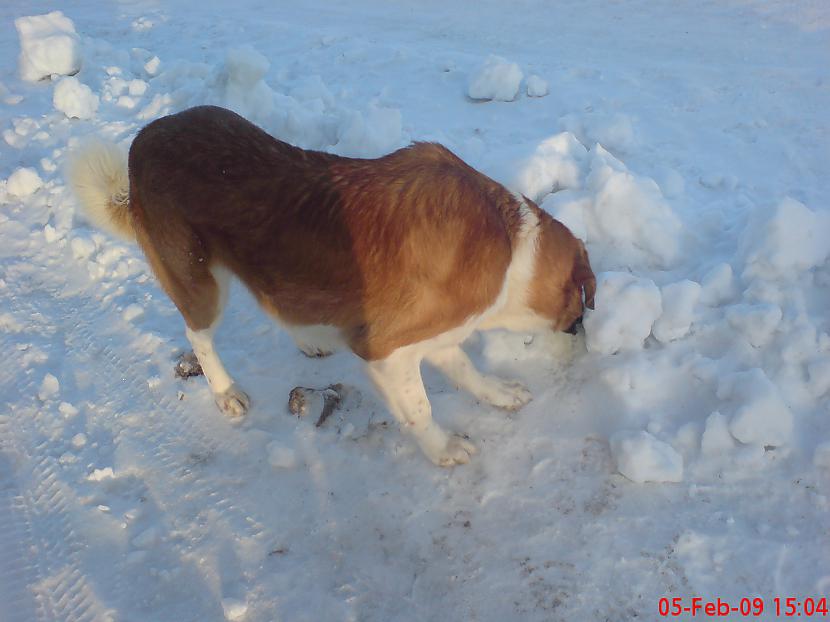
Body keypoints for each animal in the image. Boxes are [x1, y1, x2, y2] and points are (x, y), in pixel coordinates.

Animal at [68, 106, 596, 468]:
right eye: (585, 308)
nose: (585, 346)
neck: (511, 244)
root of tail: (143, 140)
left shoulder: (436, 336)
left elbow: (467, 370)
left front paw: (497, 392)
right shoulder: (385, 350)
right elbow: (419, 407)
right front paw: (442, 448)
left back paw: (309, 337)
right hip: (201, 282)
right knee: (198, 336)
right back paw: (224, 390)